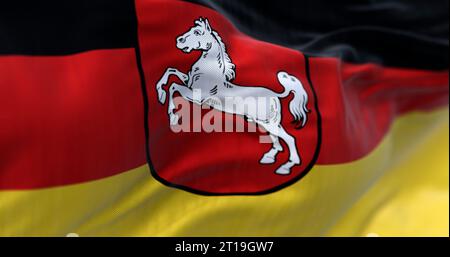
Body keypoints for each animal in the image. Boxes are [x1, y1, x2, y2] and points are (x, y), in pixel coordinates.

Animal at [156, 17, 310, 174]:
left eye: (198, 32)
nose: (179, 40)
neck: (209, 72)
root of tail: (274, 94)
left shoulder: (197, 97)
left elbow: (173, 87)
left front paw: (172, 115)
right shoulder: (188, 83)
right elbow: (171, 71)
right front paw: (161, 93)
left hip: (269, 122)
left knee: (289, 139)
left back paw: (286, 167)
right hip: (265, 122)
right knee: (277, 142)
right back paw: (268, 158)